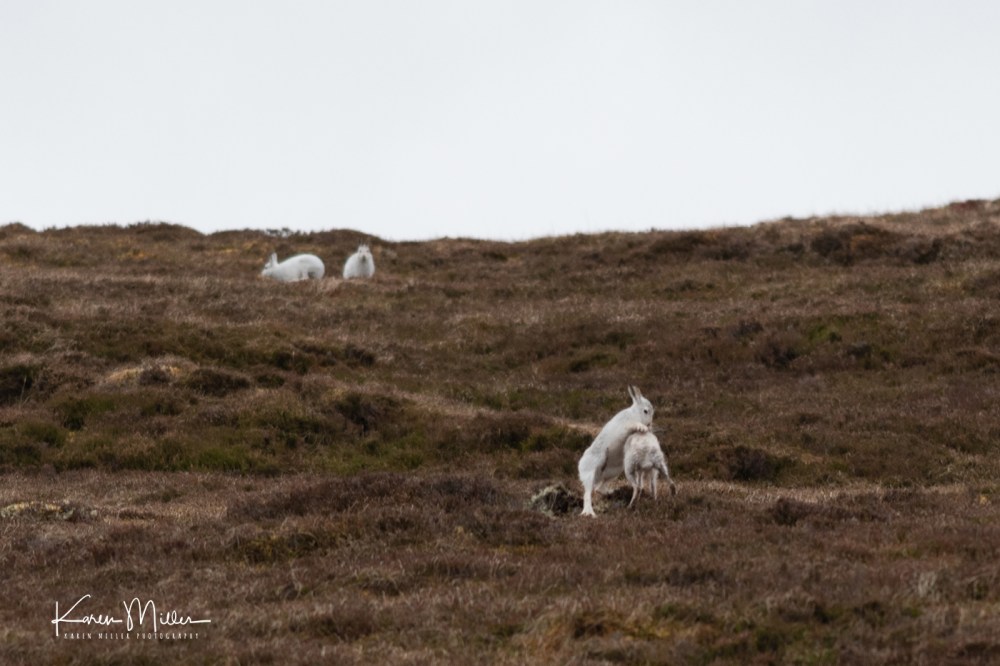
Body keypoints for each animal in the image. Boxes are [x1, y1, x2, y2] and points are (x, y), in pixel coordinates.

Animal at [578, 385, 654, 517]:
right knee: (587, 494)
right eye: (646, 411)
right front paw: (642, 427)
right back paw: (590, 513)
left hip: (614, 471)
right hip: (590, 472)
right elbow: (632, 425)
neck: (634, 414)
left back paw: (611, 492)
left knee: (598, 488)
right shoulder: (624, 428)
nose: (649, 424)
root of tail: (580, 464)